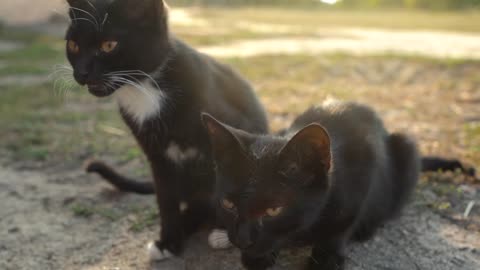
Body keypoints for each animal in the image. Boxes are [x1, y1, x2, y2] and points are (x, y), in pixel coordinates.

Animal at [63, 0, 268, 262]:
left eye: (108, 45)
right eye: (73, 45)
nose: (81, 73)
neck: (144, 89)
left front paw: (226, 231)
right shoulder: (157, 156)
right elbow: (166, 198)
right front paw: (169, 242)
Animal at [202, 101, 468, 270]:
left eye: (274, 210)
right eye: (228, 204)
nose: (242, 240)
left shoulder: (363, 175)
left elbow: (342, 226)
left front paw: (327, 256)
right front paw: (258, 256)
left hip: (407, 147)